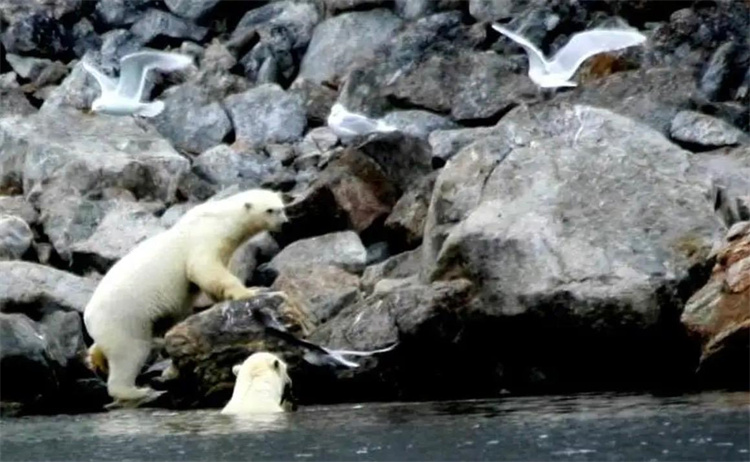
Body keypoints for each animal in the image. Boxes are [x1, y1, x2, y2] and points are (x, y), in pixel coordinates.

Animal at [83, 189, 290, 402]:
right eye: (270, 210)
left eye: (282, 208)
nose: (284, 223)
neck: (221, 218)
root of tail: (88, 316)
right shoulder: (204, 240)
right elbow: (205, 269)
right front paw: (249, 291)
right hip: (124, 318)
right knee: (130, 352)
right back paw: (138, 390)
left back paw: (97, 360)